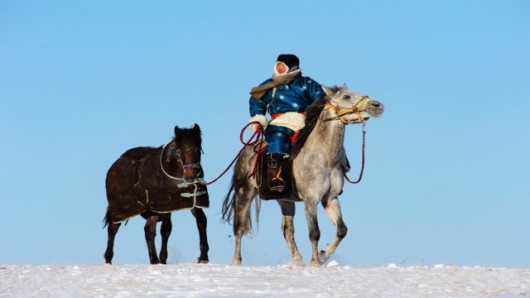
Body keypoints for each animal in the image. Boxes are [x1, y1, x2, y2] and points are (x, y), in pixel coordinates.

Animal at [103, 124, 208, 264]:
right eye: (179, 151)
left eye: (197, 150)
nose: (190, 176)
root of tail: (114, 166)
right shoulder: (166, 205)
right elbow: (166, 229)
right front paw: (163, 258)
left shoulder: (192, 200)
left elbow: (201, 221)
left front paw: (203, 257)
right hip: (121, 209)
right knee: (113, 229)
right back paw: (109, 259)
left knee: (149, 230)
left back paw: (154, 259)